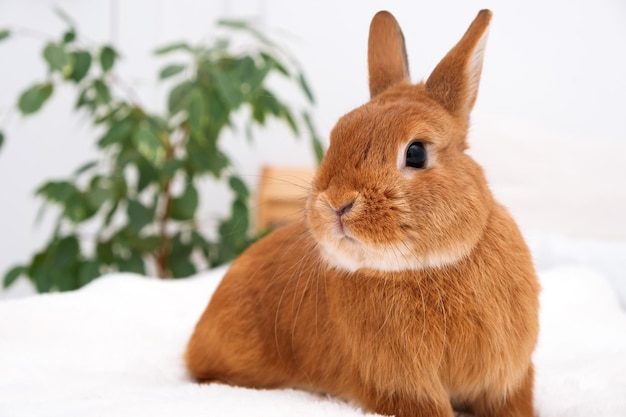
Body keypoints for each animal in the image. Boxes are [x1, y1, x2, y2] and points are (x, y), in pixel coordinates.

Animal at [184, 9, 536, 416]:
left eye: (416, 152)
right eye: (336, 138)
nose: (337, 202)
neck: (428, 268)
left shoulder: (507, 380)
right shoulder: (404, 388)